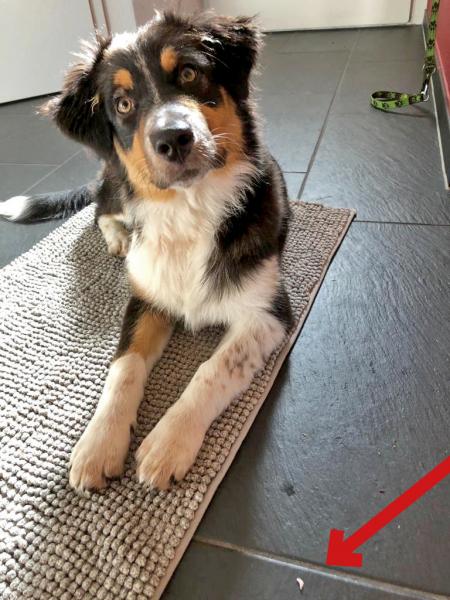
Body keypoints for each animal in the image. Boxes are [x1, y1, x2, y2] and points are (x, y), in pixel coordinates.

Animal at [0, 11, 292, 491]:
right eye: (122, 104)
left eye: (189, 73)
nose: (173, 138)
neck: (190, 209)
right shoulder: (146, 297)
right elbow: (125, 366)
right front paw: (99, 443)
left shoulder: (267, 312)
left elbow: (213, 369)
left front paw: (168, 442)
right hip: (115, 186)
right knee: (101, 208)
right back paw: (118, 238)